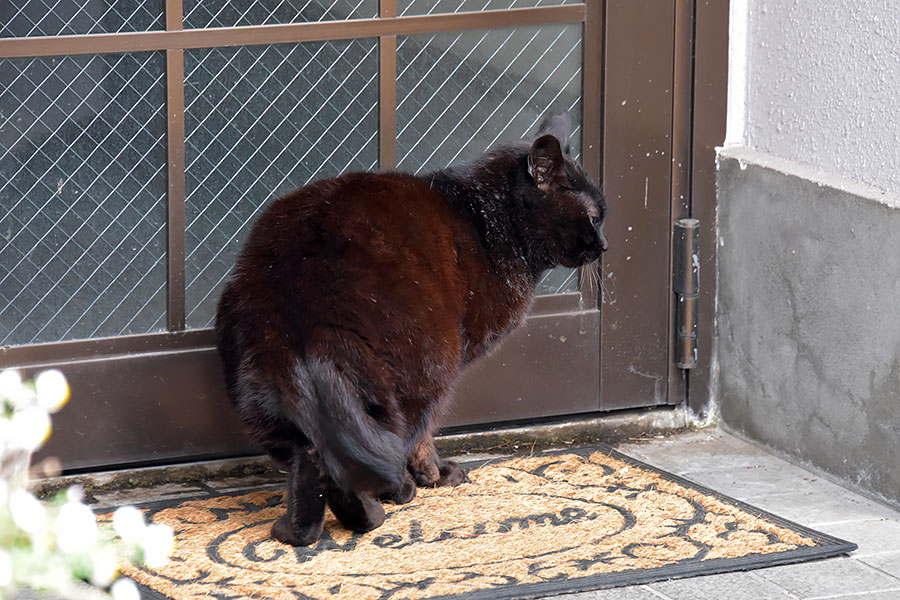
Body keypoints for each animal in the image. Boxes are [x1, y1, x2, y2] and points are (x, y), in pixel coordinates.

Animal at [214, 110, 608, 548]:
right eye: (594, 218)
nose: (604, 246)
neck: (491, 219)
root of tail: (297, 292)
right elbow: (426, 435)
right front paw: (437, 475)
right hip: (428, 366)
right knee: (392, 438)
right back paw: (394, 496)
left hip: (258, 389)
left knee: (314, 457)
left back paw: (300, 532)